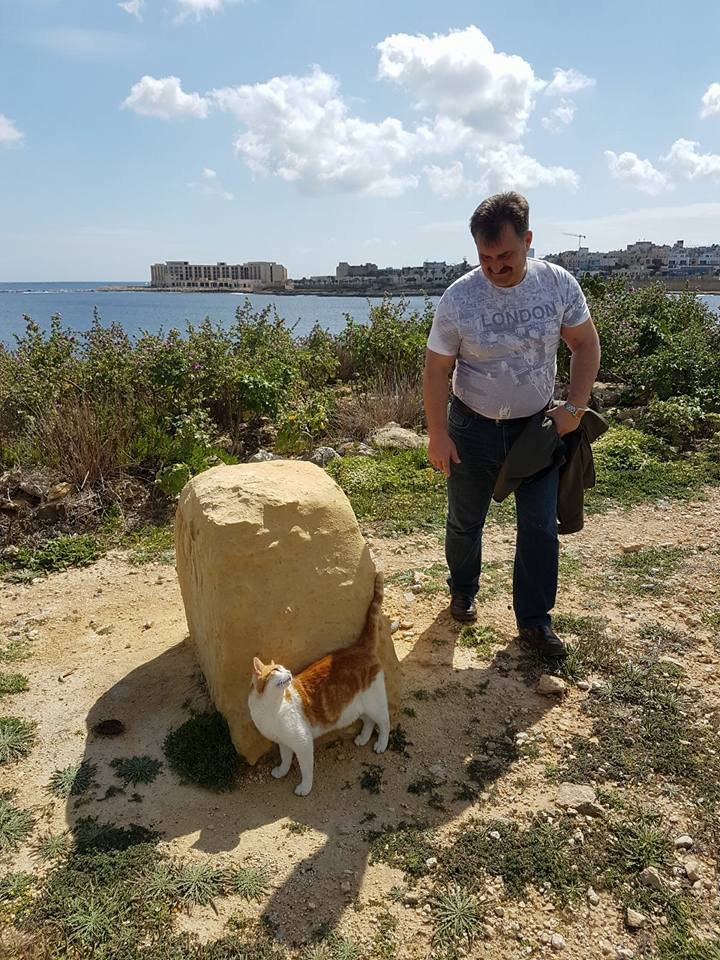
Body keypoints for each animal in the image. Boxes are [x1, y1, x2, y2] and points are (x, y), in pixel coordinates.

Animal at [250, 572, 390, 800]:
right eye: (277, 670)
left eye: (284, 668)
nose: (290, 673)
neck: (270, 707)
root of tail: (359, 647)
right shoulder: (283, 742)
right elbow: (285, 758)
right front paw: (281, 771)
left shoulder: (302, 742)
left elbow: (306, 769)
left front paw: (304, 788)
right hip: (357, 706)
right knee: (369, 721)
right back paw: (363, 738)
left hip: (374, 702)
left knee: (384, 722)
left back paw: (381, 744)